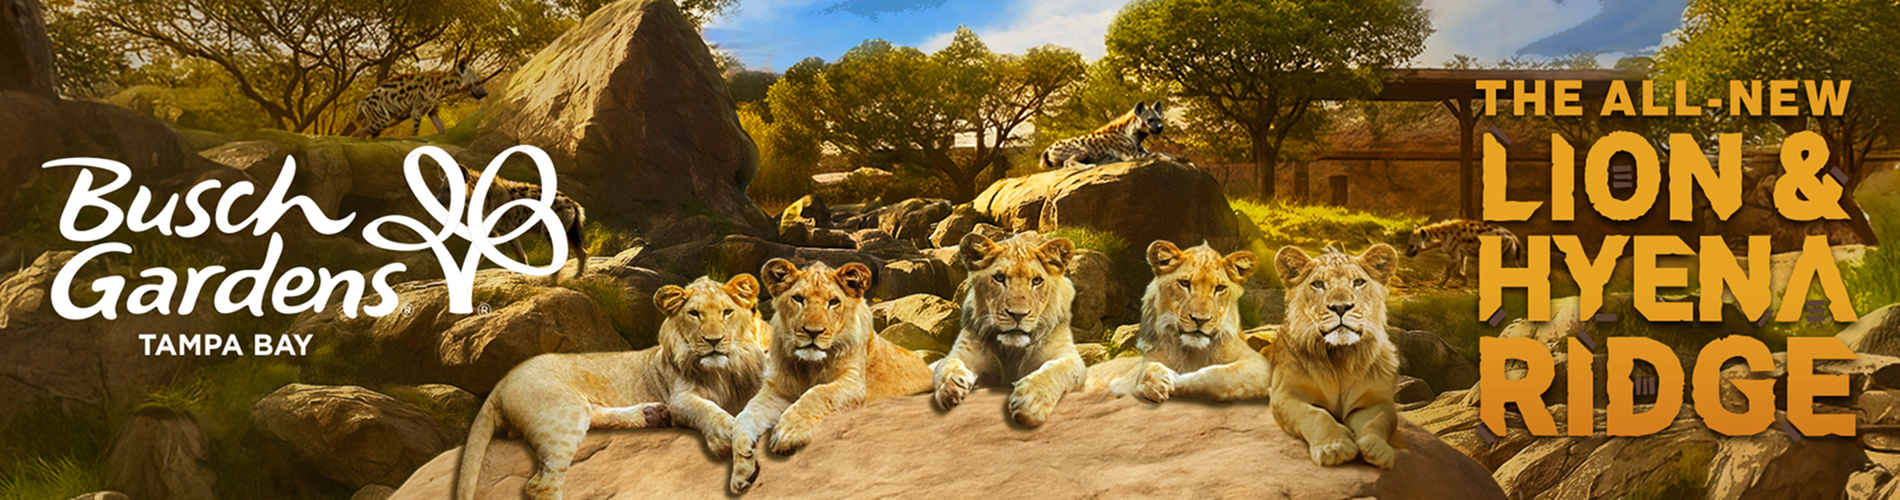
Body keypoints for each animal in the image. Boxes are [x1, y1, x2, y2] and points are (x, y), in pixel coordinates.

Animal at [455, 274, 771, 500]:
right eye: (694, 314)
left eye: (727, 312)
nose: (713, 341)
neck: (725, 371)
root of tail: (499, 384)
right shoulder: (680, 397)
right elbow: (711, 412)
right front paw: (735, 451)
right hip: (563, 414)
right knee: (540, 485)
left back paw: (652, 415)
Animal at [727, 259, 934, 494]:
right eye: (798, 299)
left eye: (833, 302)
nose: (813, 332)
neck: (808, 365)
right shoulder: (775, 391)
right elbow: (742, 418)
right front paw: (742, 469)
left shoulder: (854, 384)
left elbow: (817, 393)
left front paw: (788, 433)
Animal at [932, 231, 1088, 427]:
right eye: (999, 278)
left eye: (1037, 281)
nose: (1018, 314)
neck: (1012, 350)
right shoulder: (964, 351)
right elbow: (946, 364)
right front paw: (951, 386)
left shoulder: (1070, 357)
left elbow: (1055, 370)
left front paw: (1031, 401)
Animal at [1086, 240, 1270, 402]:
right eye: (1184, 283)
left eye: (1219, 288)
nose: (1200, 319)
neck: (1191, 351)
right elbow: (1142, 369)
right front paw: (1153, 380)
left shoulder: (1259, 365)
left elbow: (1216, 376)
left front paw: (1173, 379)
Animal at [1269, 245, 1403, 469]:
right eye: (1318, 284)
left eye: (1358, 282)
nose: (1341, 307)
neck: (1341, 357)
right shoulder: (1285, 396)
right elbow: (1317, 415)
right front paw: (1334, 448)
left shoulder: (1377, 401)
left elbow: (1379, 421)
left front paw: (1378, 449)